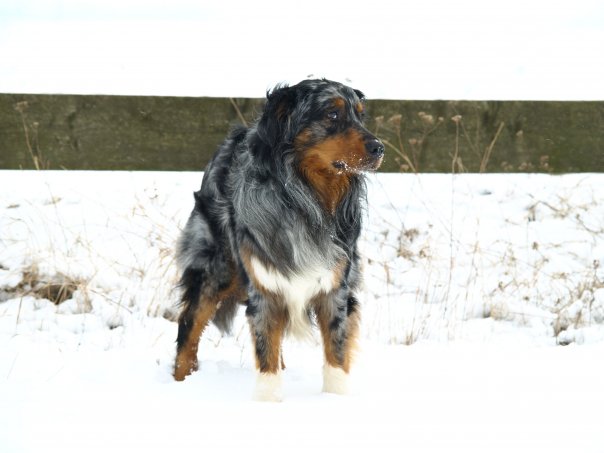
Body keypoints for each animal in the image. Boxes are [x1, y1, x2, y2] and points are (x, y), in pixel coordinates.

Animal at [173, 79, 384, 401]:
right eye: (332, 114)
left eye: (361, 116)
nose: (379, 148)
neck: (306, 200)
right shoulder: (265, 286)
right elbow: (266, 356)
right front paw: (268, 402)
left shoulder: (336, 288)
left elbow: (335, 356)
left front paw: (334, 399)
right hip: (215, 268)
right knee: (189, 326)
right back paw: (179, 383)